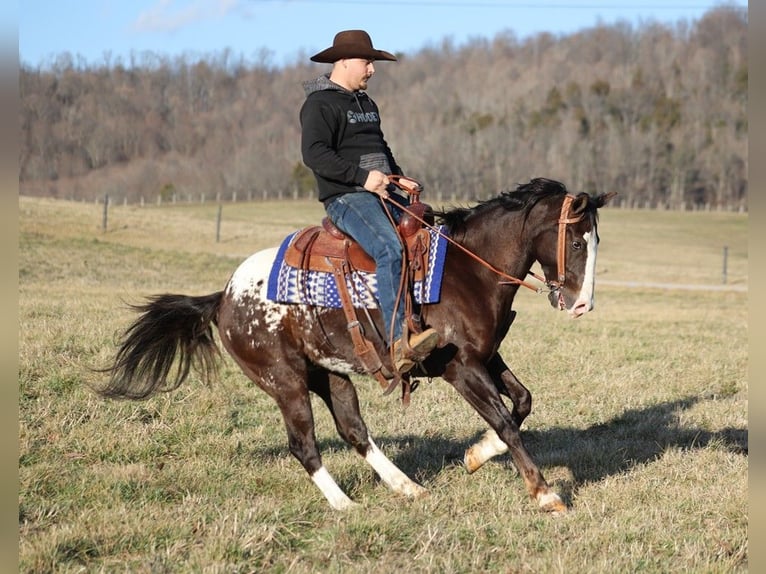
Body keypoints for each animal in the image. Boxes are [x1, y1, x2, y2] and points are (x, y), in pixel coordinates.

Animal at [97, 179, 616, 512]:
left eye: (595, 241)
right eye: (576, 242)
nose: (582, 304)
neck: (466, 270)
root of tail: (224, 296)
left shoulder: (487, 356)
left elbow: (523, 401)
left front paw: (475, 455)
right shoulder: (461, 367)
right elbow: (507, 422)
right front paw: (545, 494)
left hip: (330, 374)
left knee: (354, 431)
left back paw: (407, 488)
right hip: (285, 381)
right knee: (304, 444)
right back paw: (345, 504)